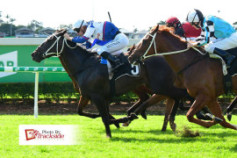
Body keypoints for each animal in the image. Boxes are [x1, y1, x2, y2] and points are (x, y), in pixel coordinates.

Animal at [31, 29, 209, 137]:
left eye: (49, 40)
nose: (34, 54)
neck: (84, 65)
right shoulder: (88, 95)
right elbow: (81, 111)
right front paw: (118, 119)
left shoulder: (97, 95)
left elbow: (104, 116)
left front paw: (115, 125)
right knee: (173, 98)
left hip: (160, 86)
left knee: (182, 96)